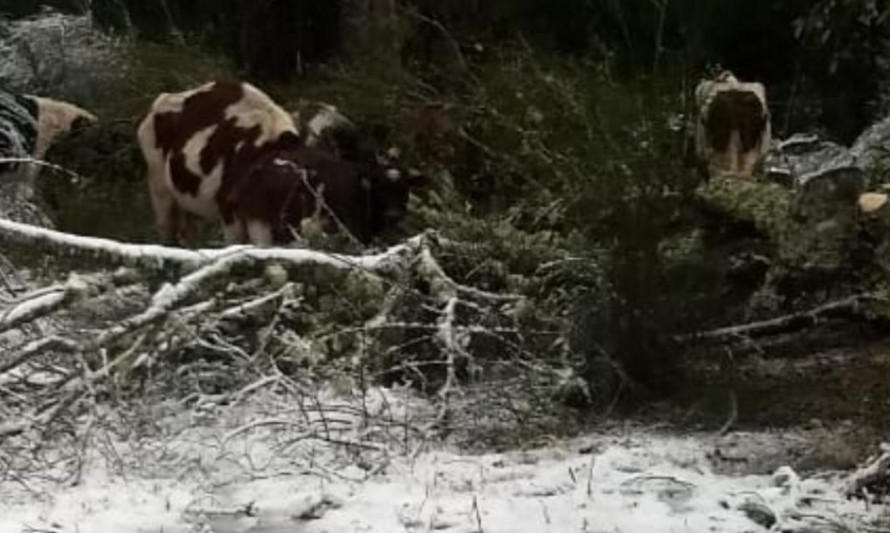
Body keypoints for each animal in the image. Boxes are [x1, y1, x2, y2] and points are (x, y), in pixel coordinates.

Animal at [137, 80, 414, 246]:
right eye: (376, 186)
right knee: (167, 232)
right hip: (159, 189)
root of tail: (164, 99)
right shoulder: (236, 217)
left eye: (405, 189)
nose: (394, 216)